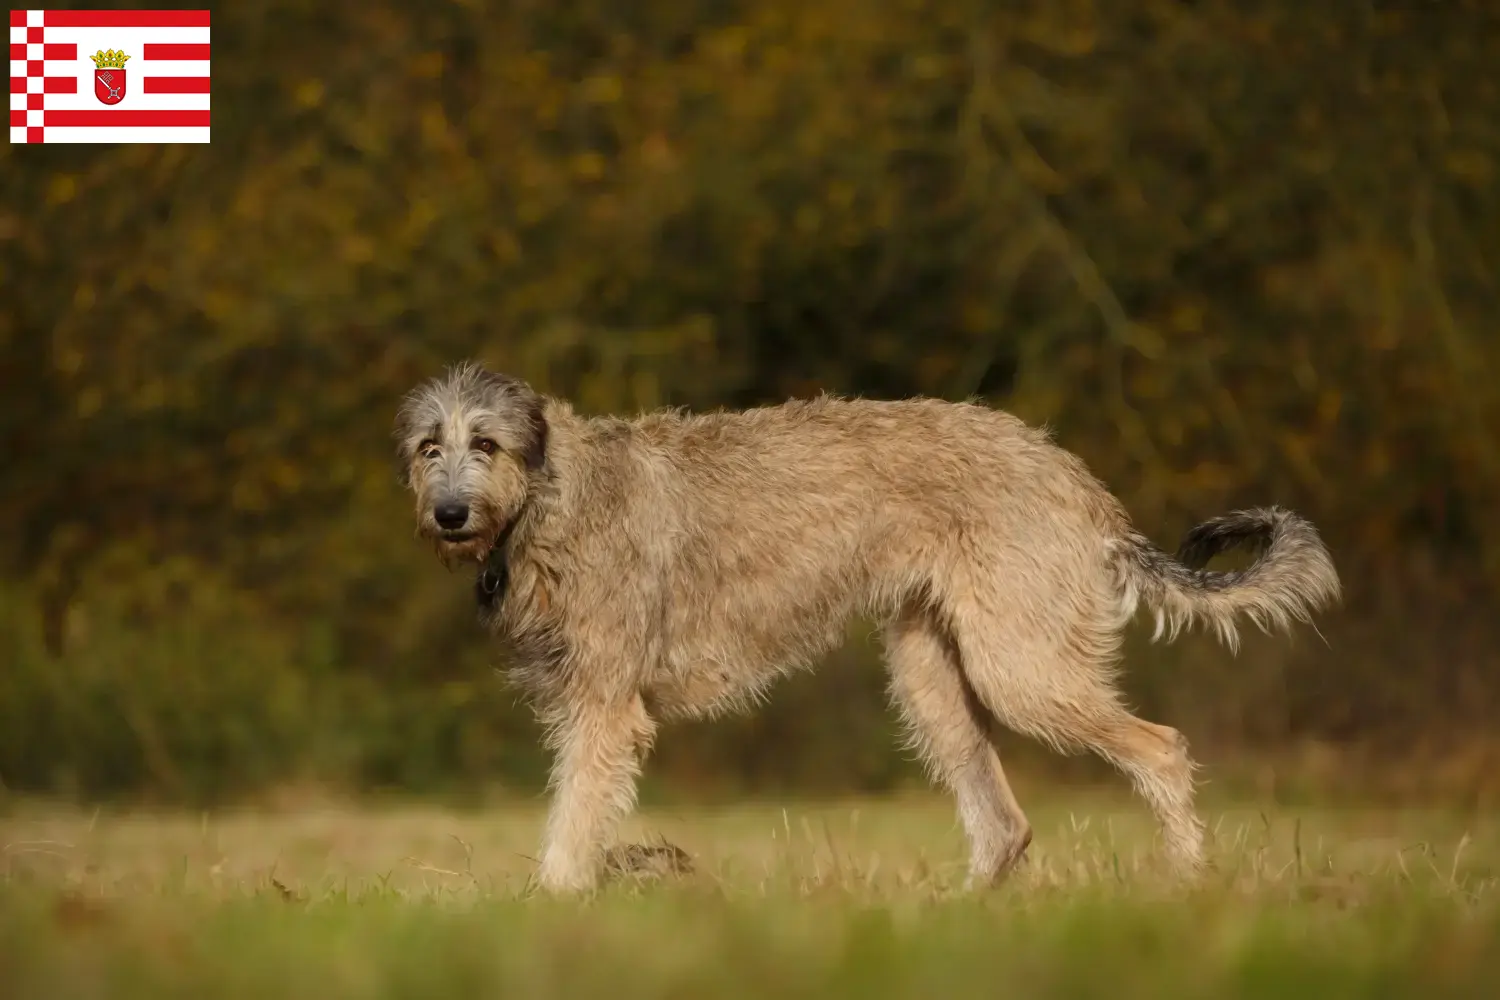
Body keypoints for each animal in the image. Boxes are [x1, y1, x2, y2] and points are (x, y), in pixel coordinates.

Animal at [396, 364, 1338, 893]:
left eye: (486, 443)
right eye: (425, 447)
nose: (448, 516)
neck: (550, 495)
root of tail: (1080, 482)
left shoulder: (605, 708)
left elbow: (573, 819)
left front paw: (551, 905)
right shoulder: (583, 702)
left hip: (1022, 668)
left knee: (1162, 748)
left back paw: (1186, 883)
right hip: (933, 682)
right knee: (1005, 824)